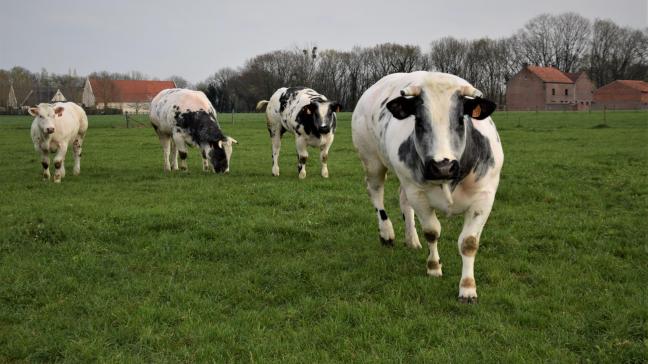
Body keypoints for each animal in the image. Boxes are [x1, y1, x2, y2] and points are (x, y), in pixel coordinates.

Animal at [352, 70, 504, 302]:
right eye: (420, 121)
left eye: (460, 119)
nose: (443, 166)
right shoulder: (418, 194)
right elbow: (432, 231)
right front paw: (433, 267)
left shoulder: (484, 197)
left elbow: (468, 242)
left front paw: (468, 288)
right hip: (372, 161)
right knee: (376, 194)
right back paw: (387, 233)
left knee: (403, 200)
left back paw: (412, 240)